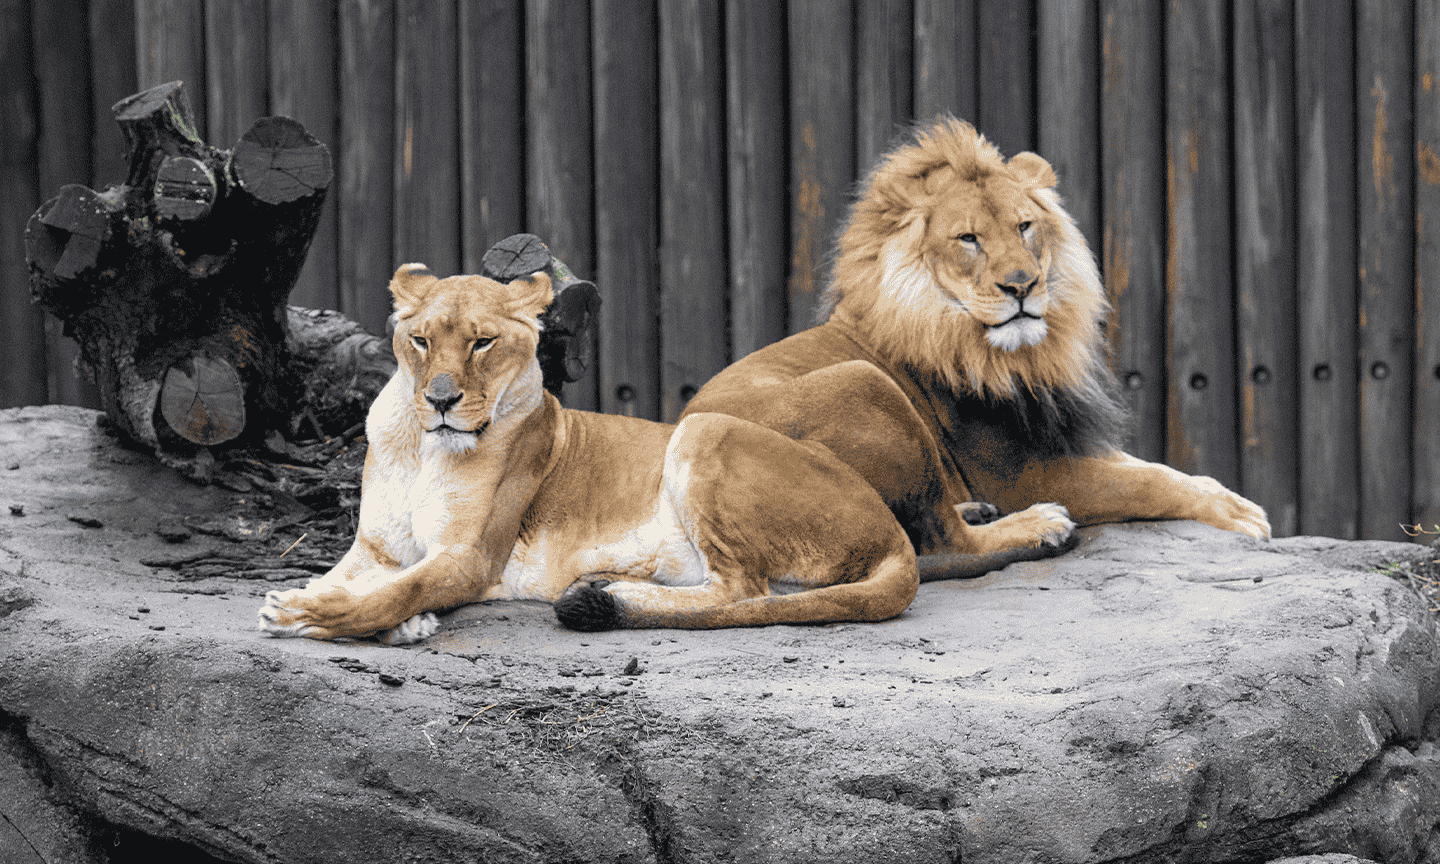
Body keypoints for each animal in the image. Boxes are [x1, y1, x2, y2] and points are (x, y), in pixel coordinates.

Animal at [257, 263, 910, 642]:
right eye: (419, 341)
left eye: (482, 343)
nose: (441, 400)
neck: (423, 448)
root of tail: (892, 527)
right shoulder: (374, 549)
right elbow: (353, 580)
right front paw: (336, 603)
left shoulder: (470, 557)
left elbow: (397, 590)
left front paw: (304, 615)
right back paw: (602, 585)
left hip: (703, 429)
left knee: (744, 592)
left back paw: (608, 599)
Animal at [679, 114, 1267, 573]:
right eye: (969, 239)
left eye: (1025, 226)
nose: (1022, 285)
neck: (1018, 357)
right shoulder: (1026, 473)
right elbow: (1148, 484)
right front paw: (1241, 514)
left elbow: (1157, 468)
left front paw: (1229, 496)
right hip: (863, 383)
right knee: (944, 546)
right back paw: (1037, 526)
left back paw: (976, 510)